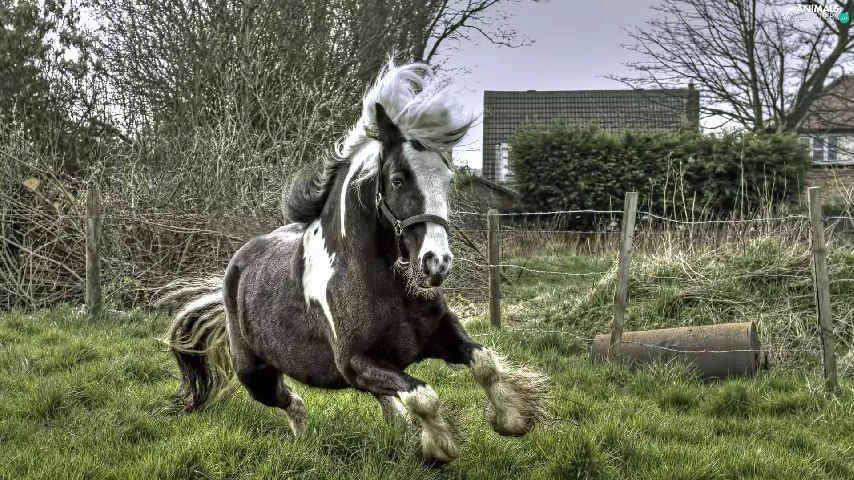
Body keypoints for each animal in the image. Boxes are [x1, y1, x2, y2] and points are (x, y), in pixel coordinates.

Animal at [156, 60, 549, 465]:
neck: (381, 282)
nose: (436, 264)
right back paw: (305, 444)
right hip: (255, 374)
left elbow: (484, 363)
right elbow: (423, 395)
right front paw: (440, 447)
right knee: (293, 403)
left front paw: (513, 420)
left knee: (380, 401)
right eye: (397, 179)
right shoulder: (357, 362)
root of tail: (234, 271)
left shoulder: (440, 335)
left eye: (448, 179)